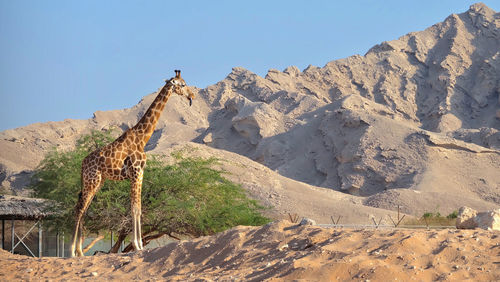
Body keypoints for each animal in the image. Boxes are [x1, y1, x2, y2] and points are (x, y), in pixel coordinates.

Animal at [70, 69, 195, 256]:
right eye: (183, 84)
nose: (192, 95)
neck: (142, 137)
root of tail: (82, 165)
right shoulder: (135, 172)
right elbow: (135, 208)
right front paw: (137, 245)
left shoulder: (141, 173)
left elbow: (139, 208)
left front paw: (141, 245)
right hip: (91, 180)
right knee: (79, 208)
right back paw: (72, 251)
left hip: (98, 182)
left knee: (83, 209)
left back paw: (80, 252)